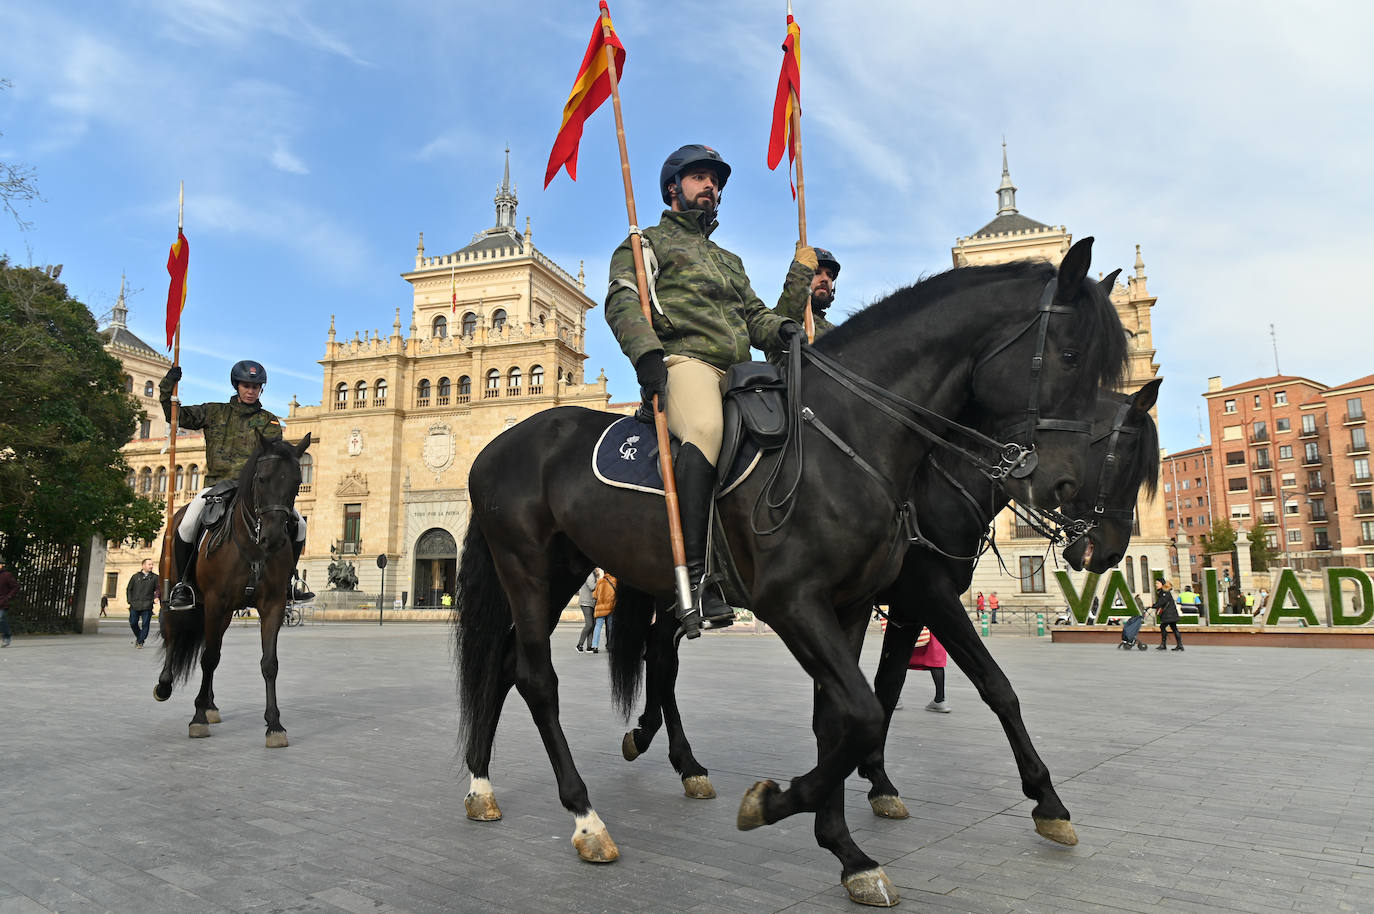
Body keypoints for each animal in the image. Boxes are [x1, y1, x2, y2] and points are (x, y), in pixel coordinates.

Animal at [153, 431, 311, 747]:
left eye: (297, 481)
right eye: (261, 478)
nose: (274, 538)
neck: (252, 545)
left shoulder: (273, 605)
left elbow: (269, 663)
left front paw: (274, 724)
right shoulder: (215, 602)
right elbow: (209, 658)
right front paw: (197, 718)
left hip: (224, 615)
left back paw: (210, 704)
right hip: (176, 595)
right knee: (173, 634)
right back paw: (165, 687)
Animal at [612, 376, 1159, 841]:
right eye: (1124, 458)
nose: (1109, 552)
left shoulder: (906, 607)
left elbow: (888, 685)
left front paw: (876, 778)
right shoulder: (931, 594)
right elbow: (995, 685)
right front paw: (1046, 800)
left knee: (660, 654)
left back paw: (655, 741)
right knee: (661, 655)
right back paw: (676, 755)